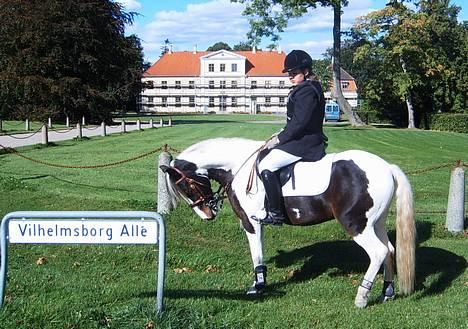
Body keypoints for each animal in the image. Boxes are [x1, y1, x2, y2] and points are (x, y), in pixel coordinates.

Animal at [161, 137, 416, 306]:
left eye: (185, 186)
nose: (207, 214)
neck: (238, 167)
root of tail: (386, 167)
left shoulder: (251, 223)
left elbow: (257, 255)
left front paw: (258, 287)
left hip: (357, 225)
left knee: (378, 252)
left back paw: (361, 298)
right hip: (376, 223)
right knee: (390, 250)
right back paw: (387, 292)